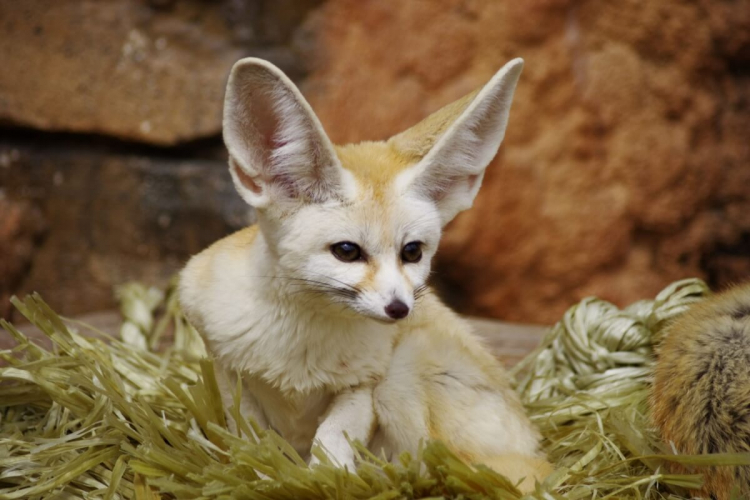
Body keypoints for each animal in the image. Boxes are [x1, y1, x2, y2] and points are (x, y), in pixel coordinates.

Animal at [178, 56, 551, 491]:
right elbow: (253, 444)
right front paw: (261, 478)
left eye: (412, 252)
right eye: (347, 252)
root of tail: (536, 443)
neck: (299, 348)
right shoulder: (230, 374)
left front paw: (329, 480)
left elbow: (329, 441)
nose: (399, 309)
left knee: (446, 466)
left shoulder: (365, 385)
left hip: (402, 374)